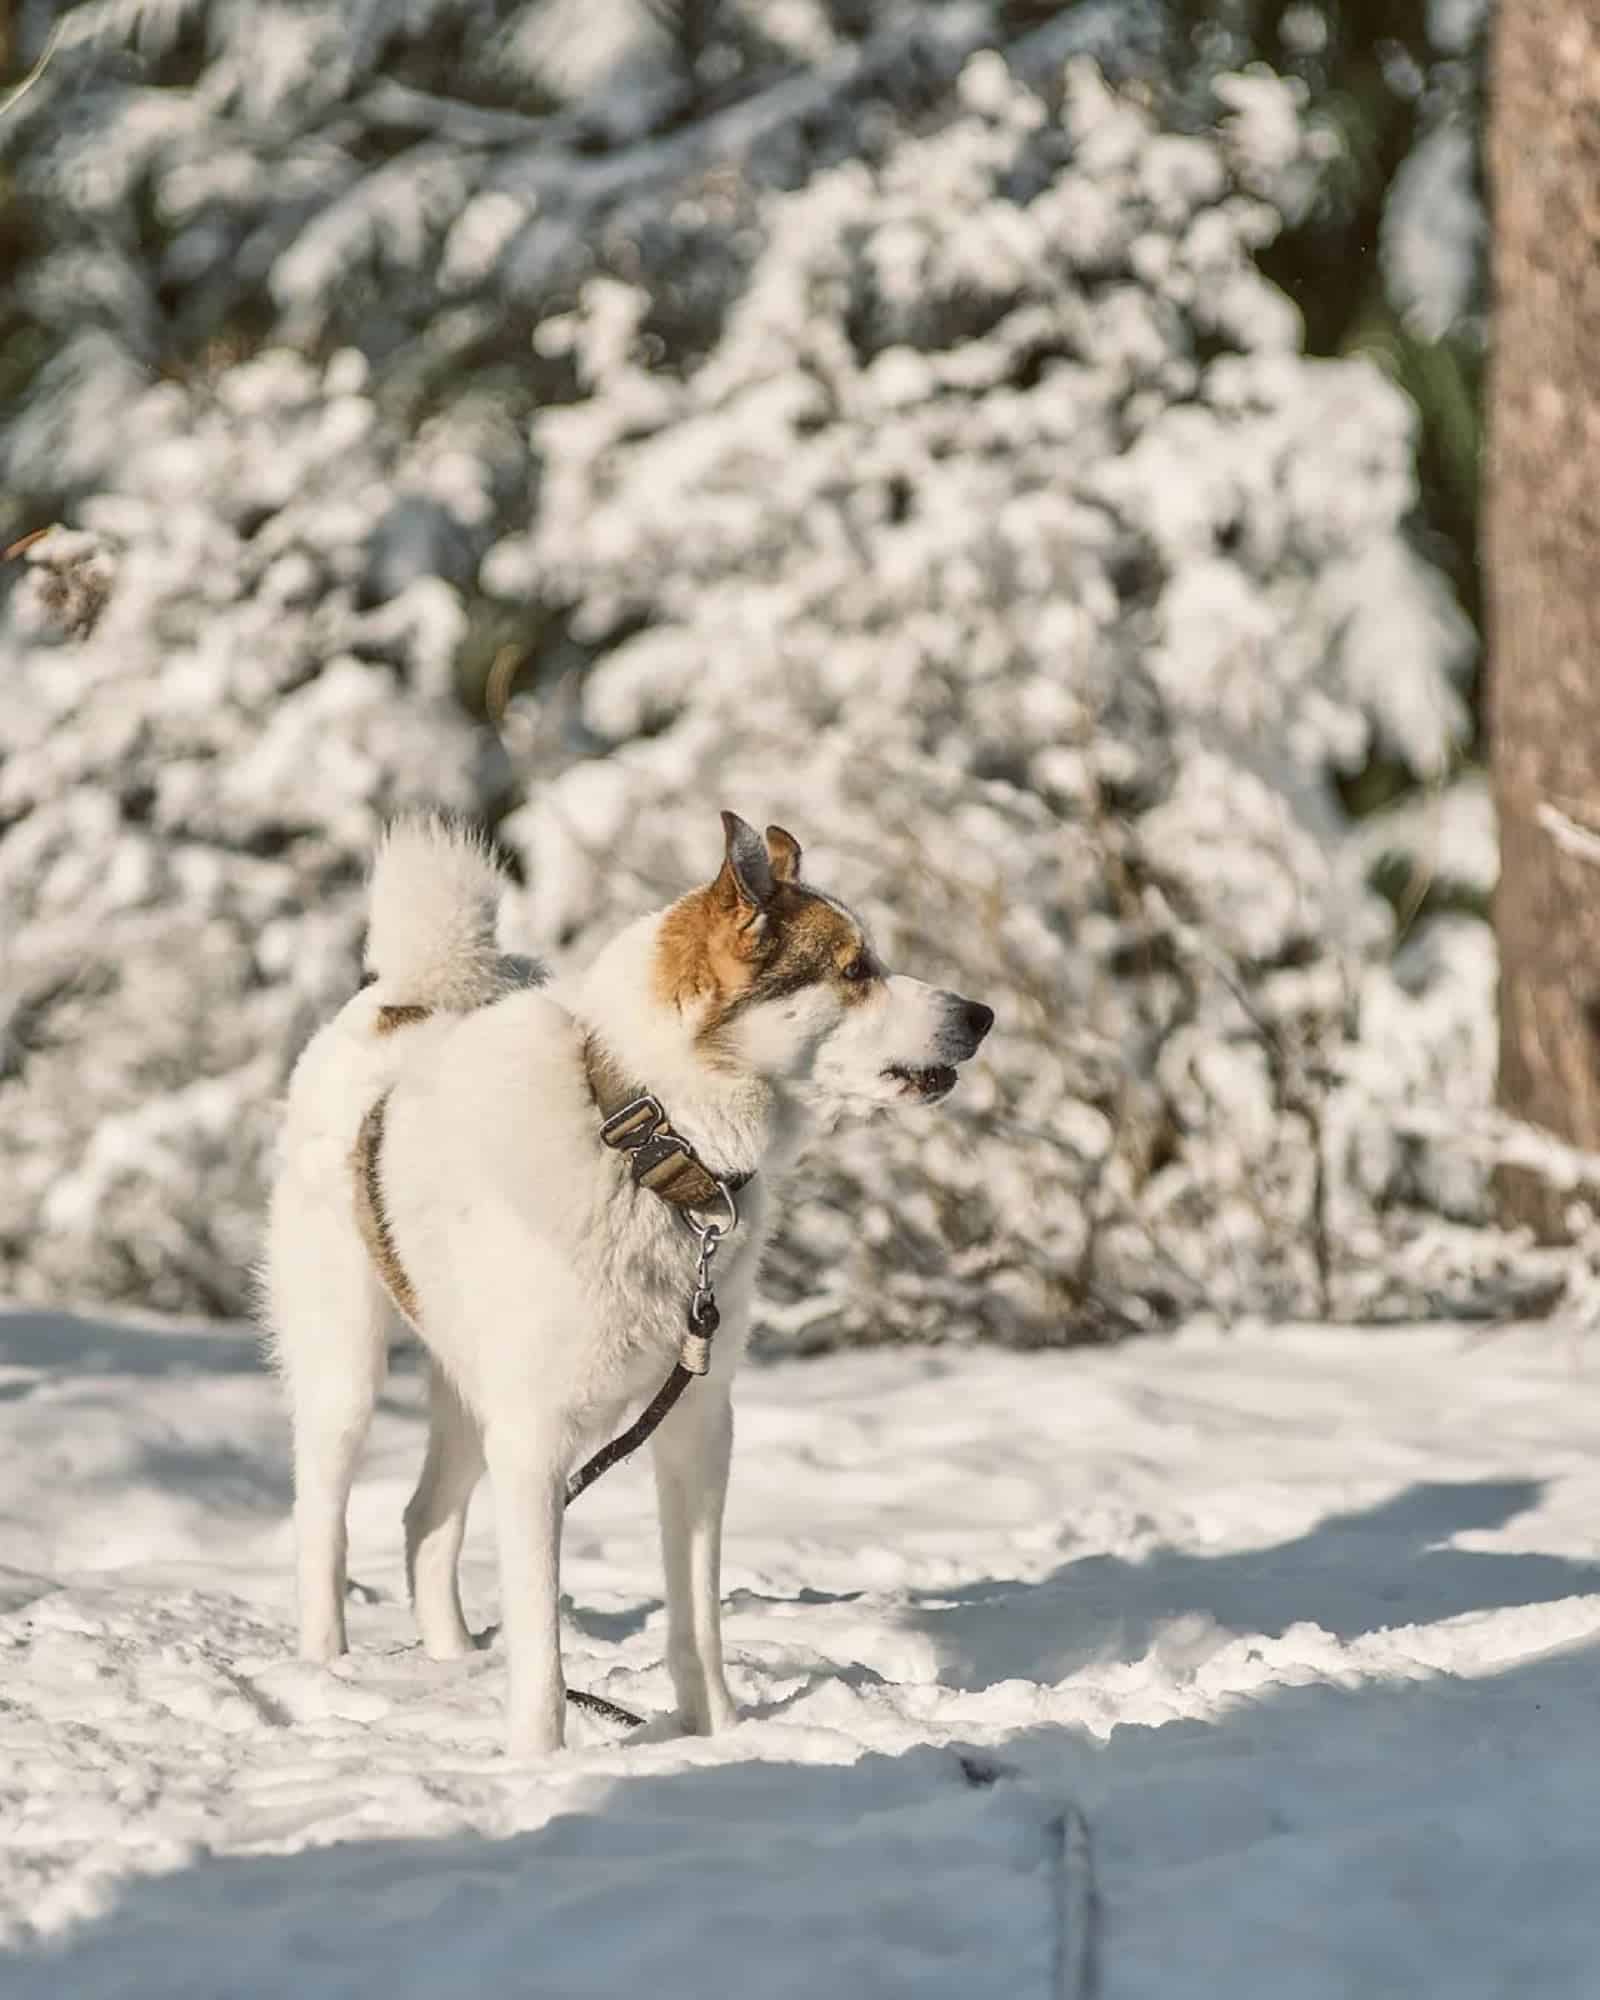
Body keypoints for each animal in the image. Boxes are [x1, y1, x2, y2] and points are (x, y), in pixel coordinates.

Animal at [260, 808, 988, 1752]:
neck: (642, 1139)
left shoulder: (697, 1424)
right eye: (856, 970)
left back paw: (452, 1665)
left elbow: (697, 1617)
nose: (983, 1014)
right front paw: (538, 1760)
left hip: (469, 1394)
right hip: (348, 1376)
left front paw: (719, 1734)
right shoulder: (535, 1442)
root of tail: (399, 997)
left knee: (425, 1521)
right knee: (325, 1527)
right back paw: (328, 1671)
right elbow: (542, 1642)